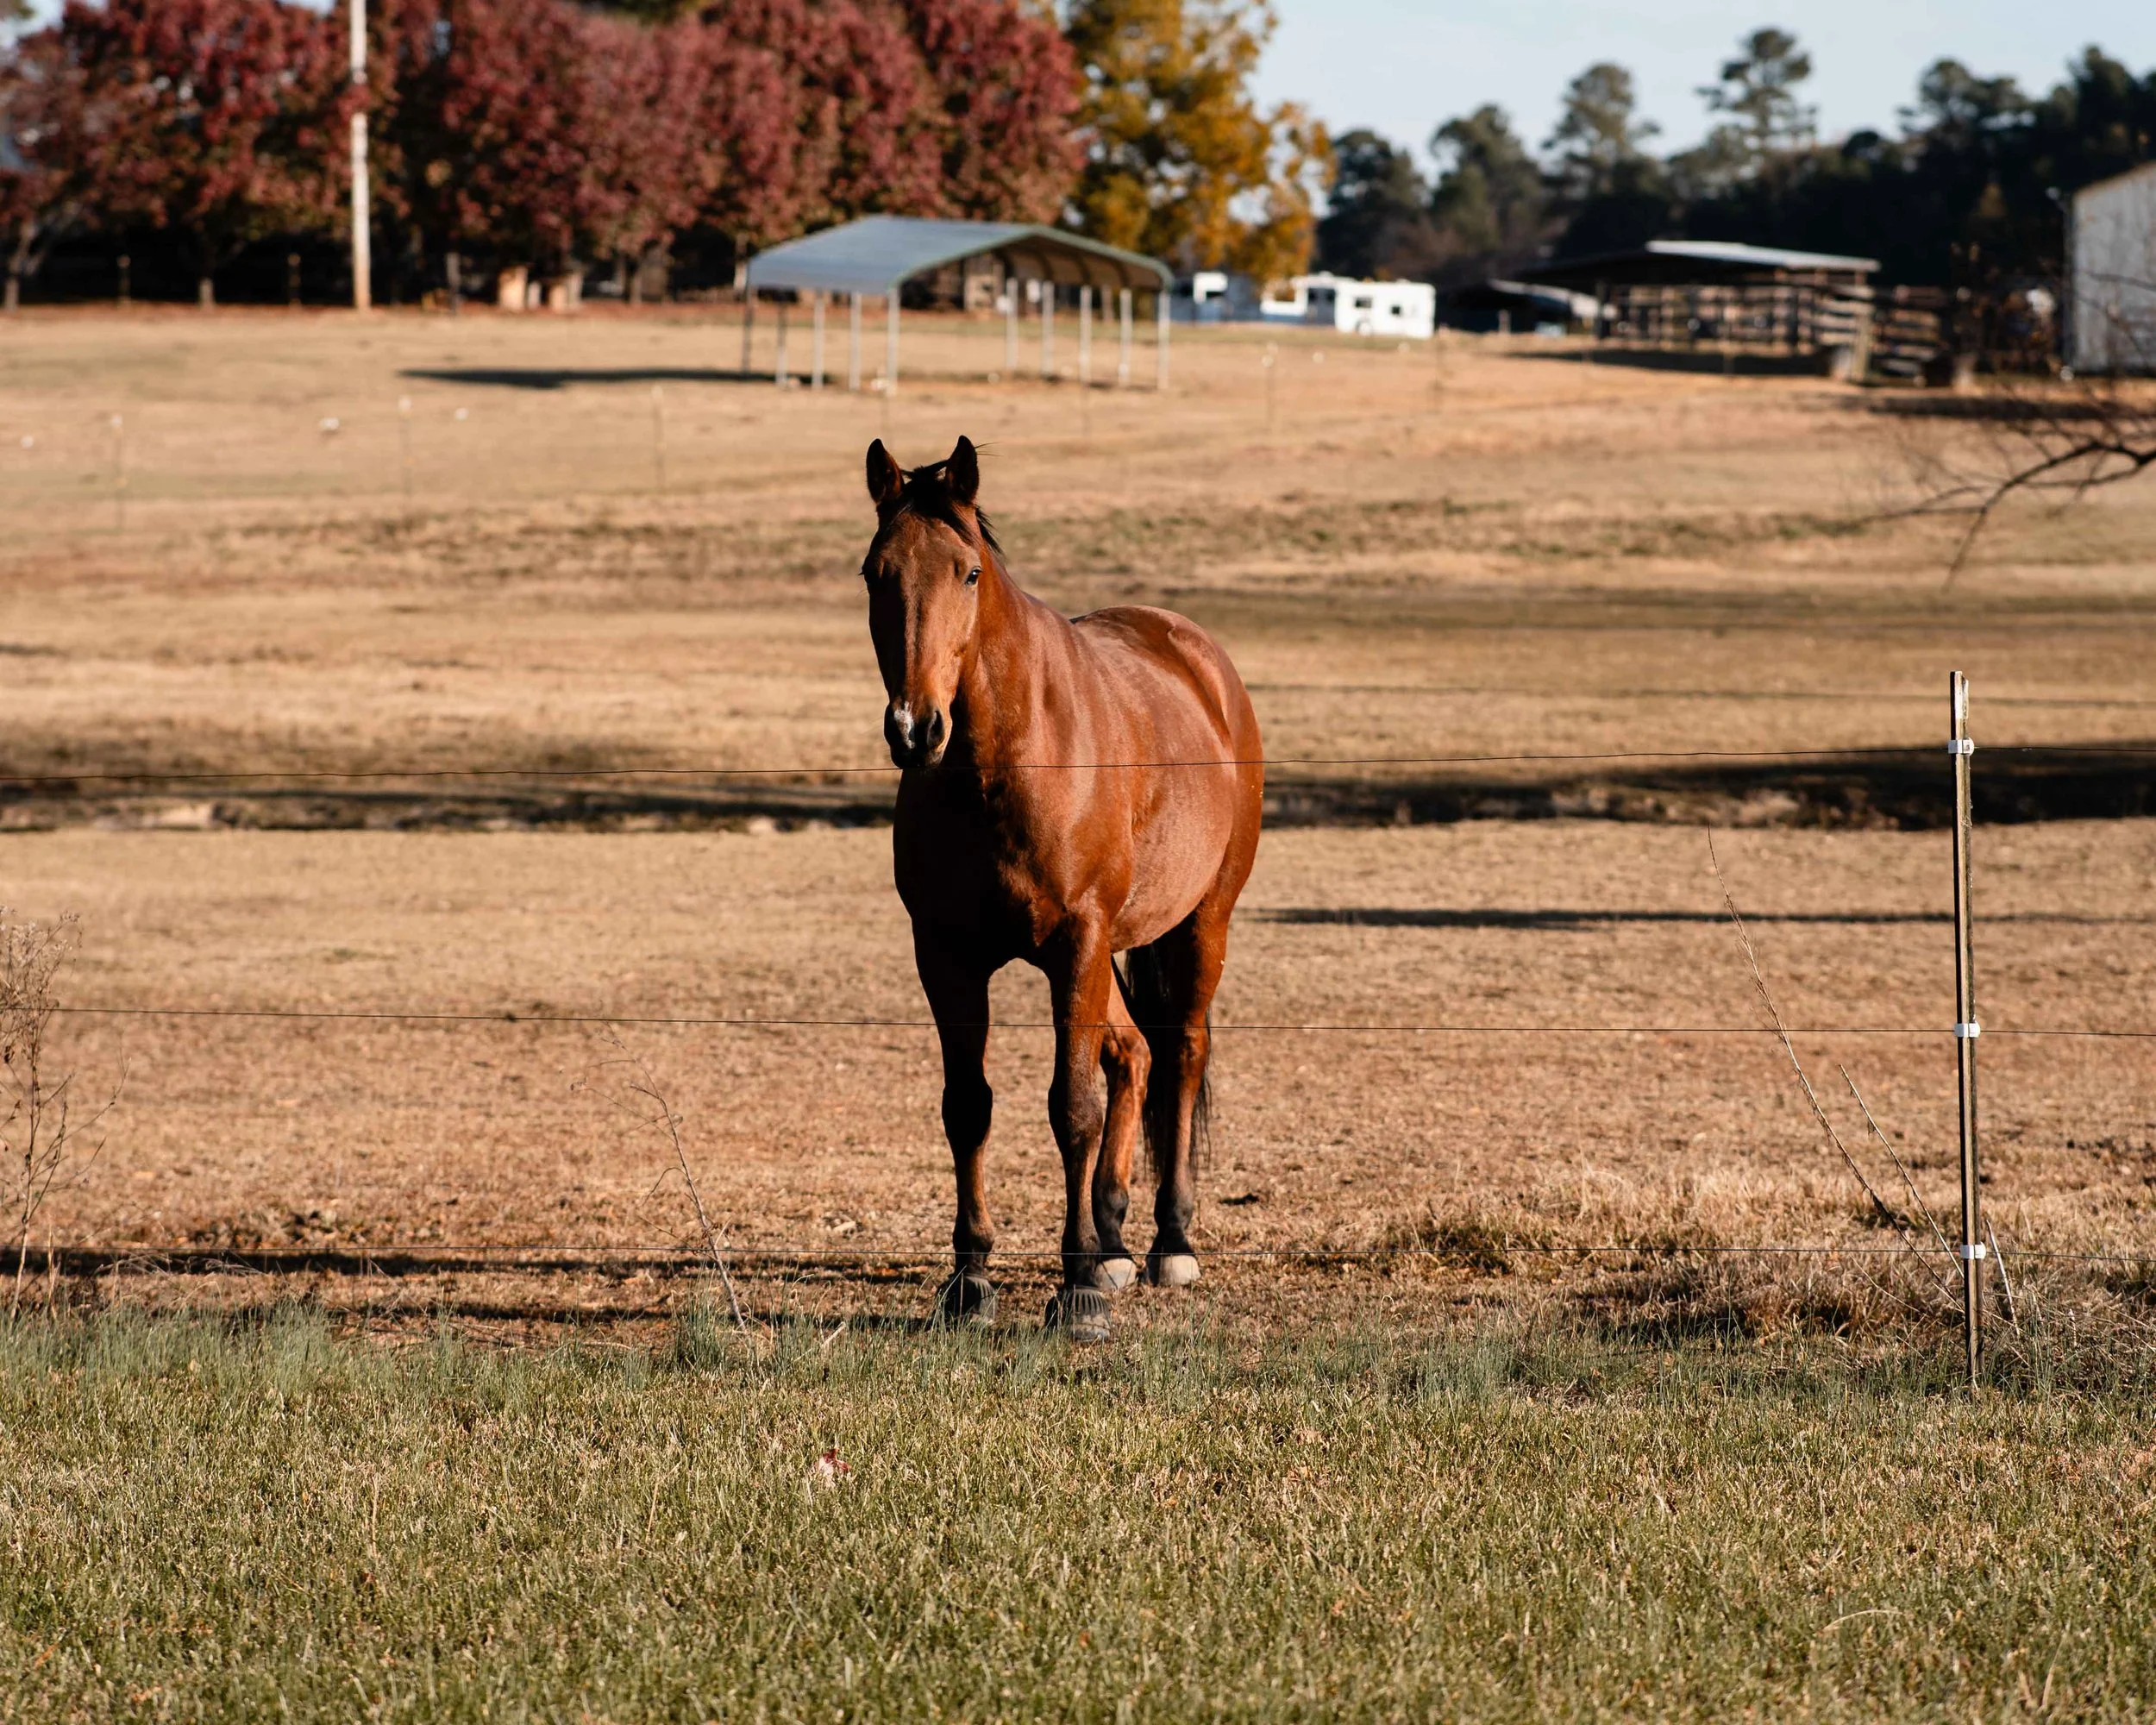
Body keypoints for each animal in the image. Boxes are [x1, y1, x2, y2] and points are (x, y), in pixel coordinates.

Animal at [860, 435, 1264, 1340]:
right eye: (873, 572)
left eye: (968, 573)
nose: (915, 729)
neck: (1006, 762)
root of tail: (1198, 656)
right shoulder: (947, 954)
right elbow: (967, 1105)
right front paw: (970, 1278)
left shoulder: (1077, 941)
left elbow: (1070, 1106)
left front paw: (1075, 1287)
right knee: (1135, 1054)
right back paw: (1115, 1242)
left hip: (1200, 925)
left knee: (1180, 1053)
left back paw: (1167, 1242)